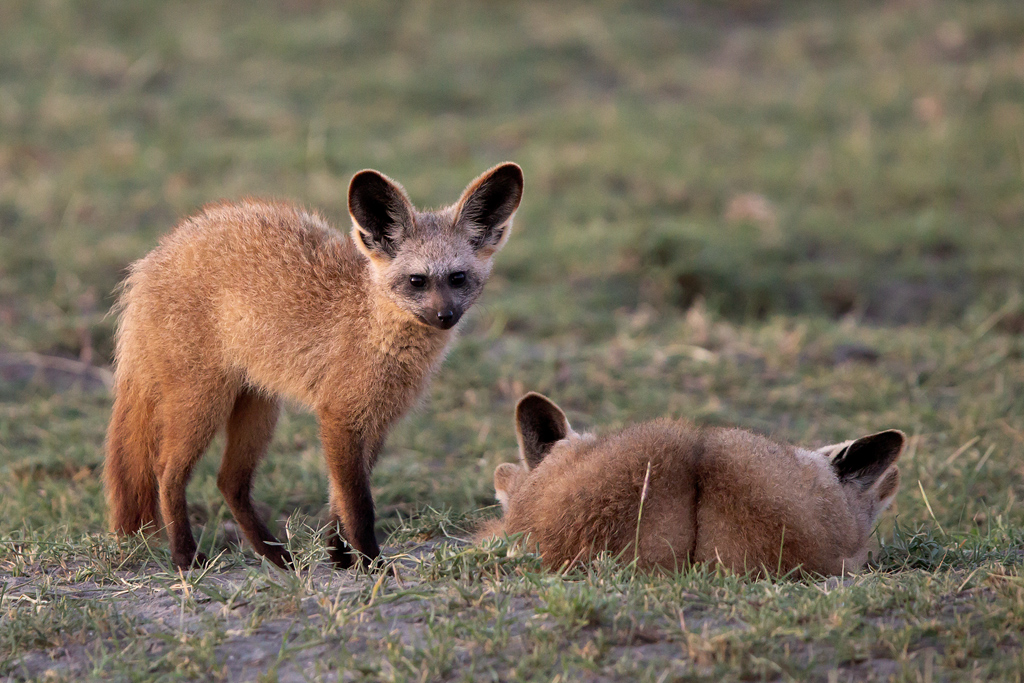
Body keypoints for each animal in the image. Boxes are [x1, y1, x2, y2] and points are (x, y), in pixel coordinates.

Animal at [103, 162, 524, 569]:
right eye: (417, 281)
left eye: (458, 278)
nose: (445, 317)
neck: (372, 330)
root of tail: (150, 261)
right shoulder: (339, 418)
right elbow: (358, 505)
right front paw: (372, 565)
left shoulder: (376, 421)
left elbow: (337, 500)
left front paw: (339, 556)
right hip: (203, 405)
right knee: (167, 475)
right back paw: (185, 556)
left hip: (258, 410)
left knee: (229, 482)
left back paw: (274, 555)